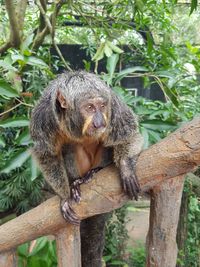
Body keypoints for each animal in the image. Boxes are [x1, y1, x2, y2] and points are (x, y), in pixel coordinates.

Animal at [29, 70, 143, 266]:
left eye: (102, 106)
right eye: (89, 107)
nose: (99, 121)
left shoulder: (113, 105)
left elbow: (129, 134)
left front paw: (126, 167)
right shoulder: (42, 117)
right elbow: (47, 155)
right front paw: (64, 196)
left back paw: (96, 171)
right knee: (68, 146)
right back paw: (76, 182)